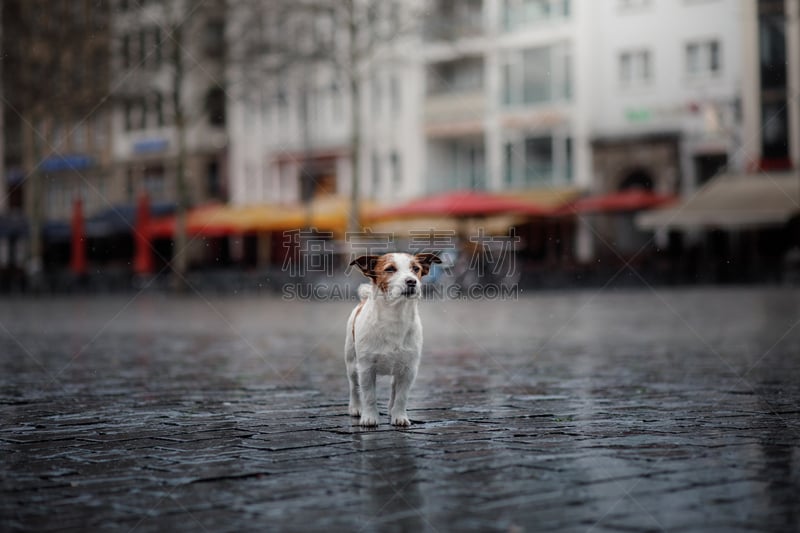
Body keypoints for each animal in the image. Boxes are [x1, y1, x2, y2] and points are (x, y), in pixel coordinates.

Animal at [346, 251, 444, 426]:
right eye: (390, 269)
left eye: (416, 268)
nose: (411, 281)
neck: (395, 315)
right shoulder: (366, 368)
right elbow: (369, 395)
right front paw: (369, 417)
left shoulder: (409, 370)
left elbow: (401, 396)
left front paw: (399, 416)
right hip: (351, 363)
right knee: (353, 387)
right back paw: (355, 408)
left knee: (393, 387)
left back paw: (391, 409)